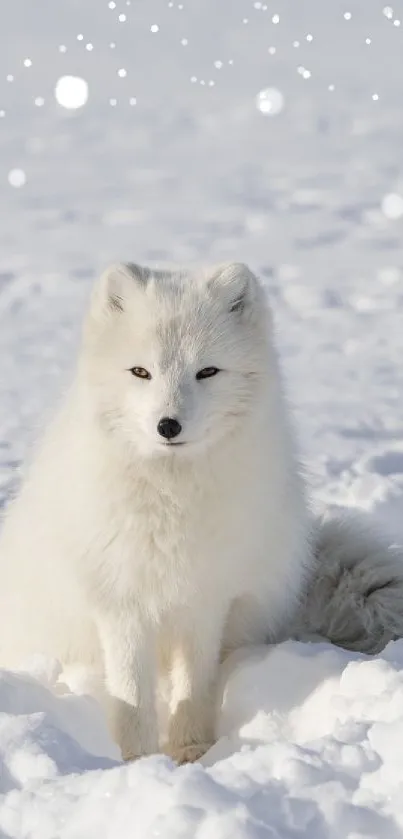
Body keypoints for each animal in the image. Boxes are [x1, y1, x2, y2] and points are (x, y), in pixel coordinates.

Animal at [0, 262, 402, 760]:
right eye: (141, 372)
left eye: (207, 371)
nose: (167, 425)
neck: (171, 499)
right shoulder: (120, 602)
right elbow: (131, 696)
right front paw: (137, 762)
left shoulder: (206, 599)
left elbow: (193, 685)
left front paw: (190, 753)